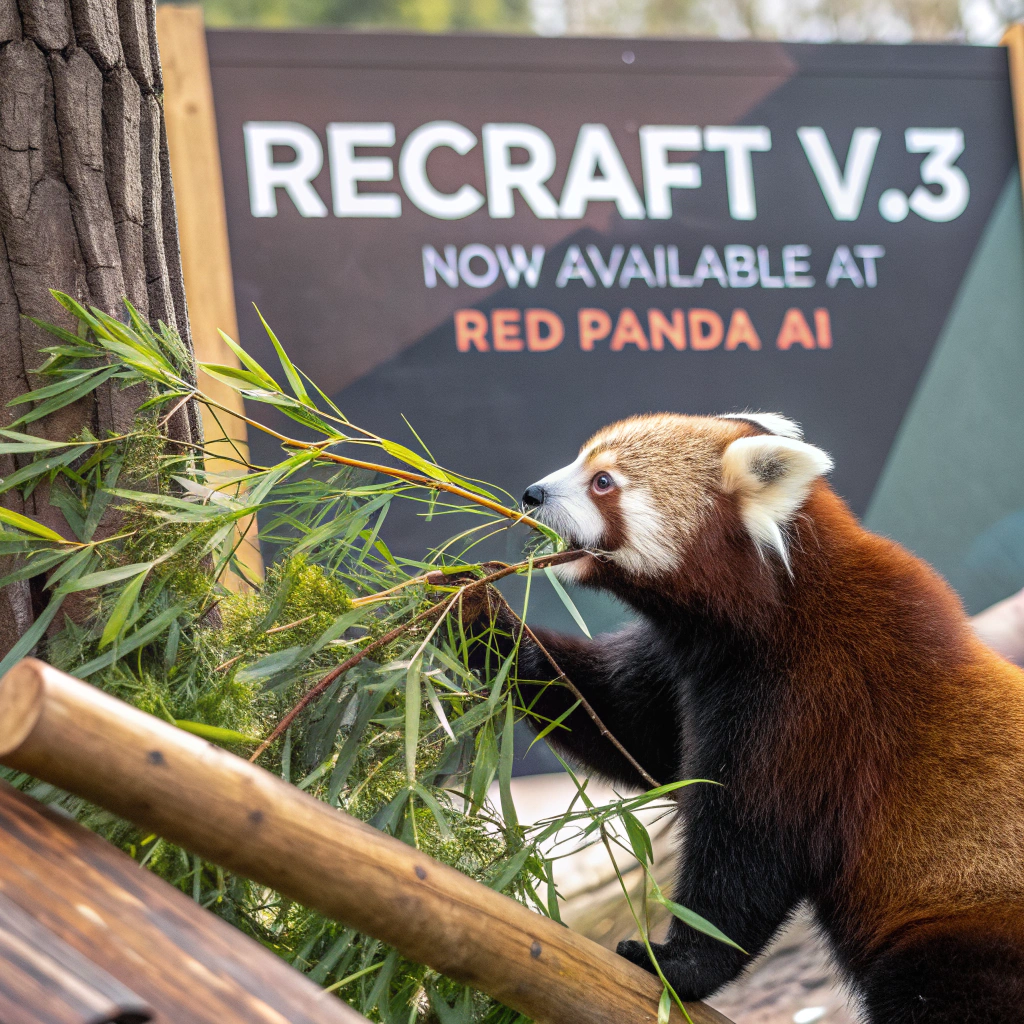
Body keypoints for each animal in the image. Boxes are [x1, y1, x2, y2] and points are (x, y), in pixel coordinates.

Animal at [484, 412, 1024, 1021]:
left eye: (603, 482)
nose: (532, 494)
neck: (776, 609)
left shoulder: (818, 700)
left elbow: (748, 847)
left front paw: (680, 964)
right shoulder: (689, 666)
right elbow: (626, 726)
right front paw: (474, 617)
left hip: (967, 932)